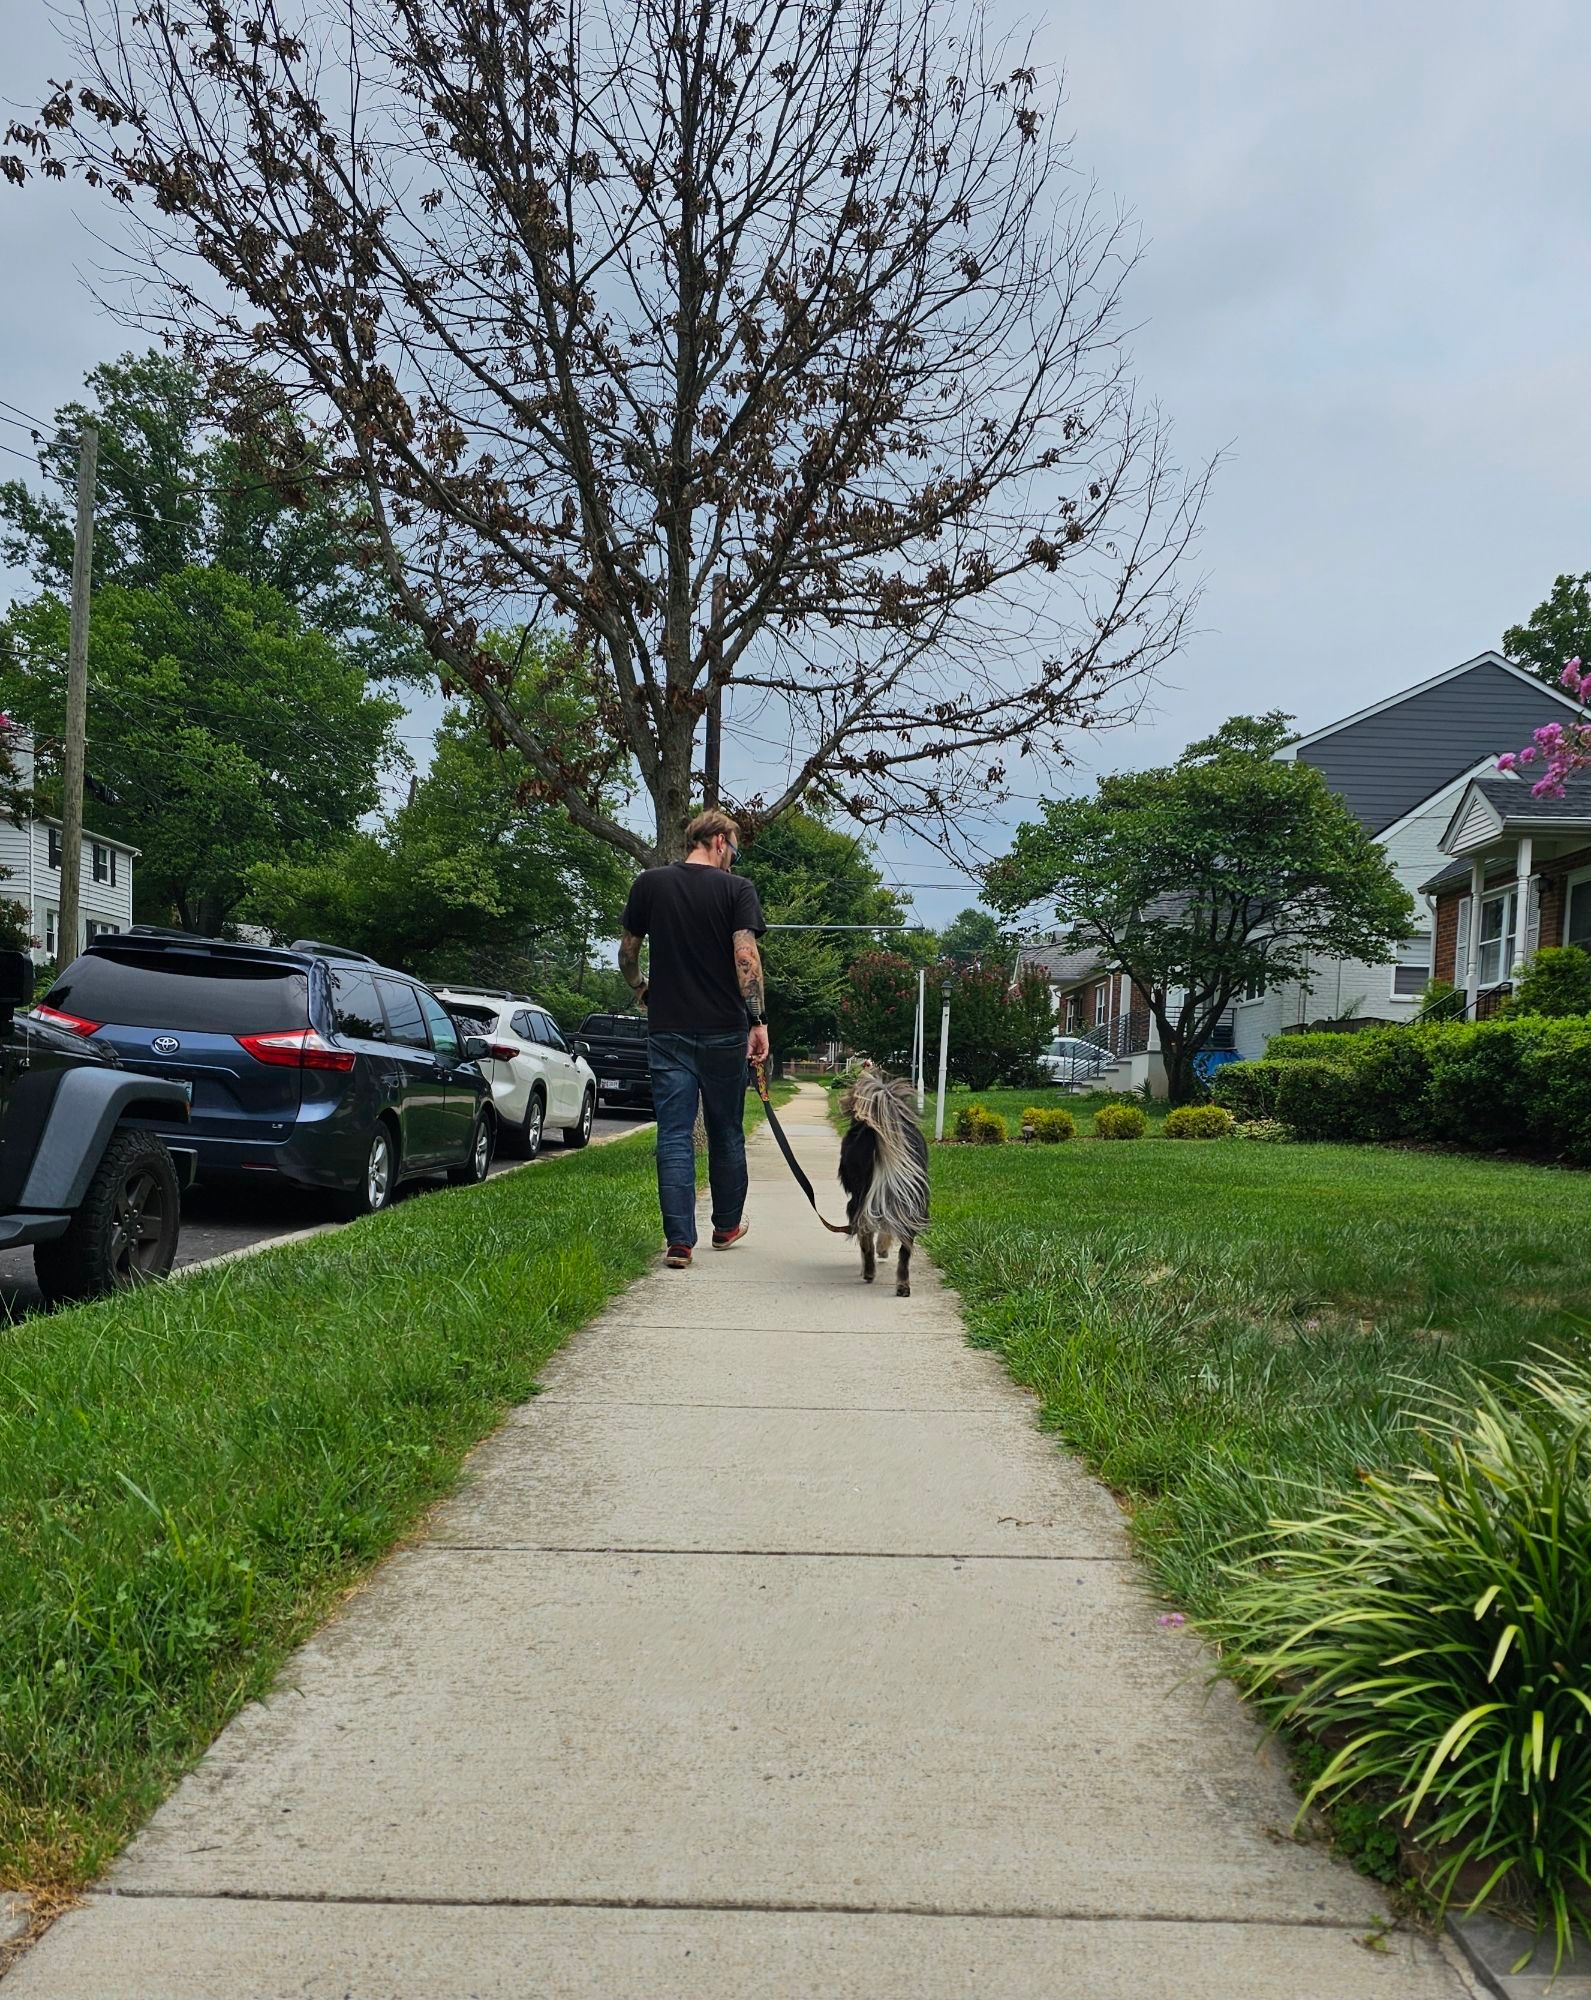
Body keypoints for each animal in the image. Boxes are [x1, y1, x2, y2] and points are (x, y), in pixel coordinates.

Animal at [839, 1064, 927, 1296]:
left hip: (860, 1197)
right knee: (904, 1249)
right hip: (909, 1199)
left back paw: (869, 1270)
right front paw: (883, 1249)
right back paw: (902, 1284)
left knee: (866, 1235)